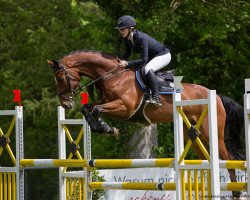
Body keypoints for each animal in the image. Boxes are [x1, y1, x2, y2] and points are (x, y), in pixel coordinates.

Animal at [47, 50, 244, 198]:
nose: (65, 104)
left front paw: (107, 128)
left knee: (228, 159)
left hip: (212, 134)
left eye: (61, 78)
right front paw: (105, 128)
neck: (112, 76)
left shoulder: (125, 107)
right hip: (194, 137)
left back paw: (235, 192)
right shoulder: (107, 103)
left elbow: (95, 110)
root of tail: (217, 96)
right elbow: (88, 108)